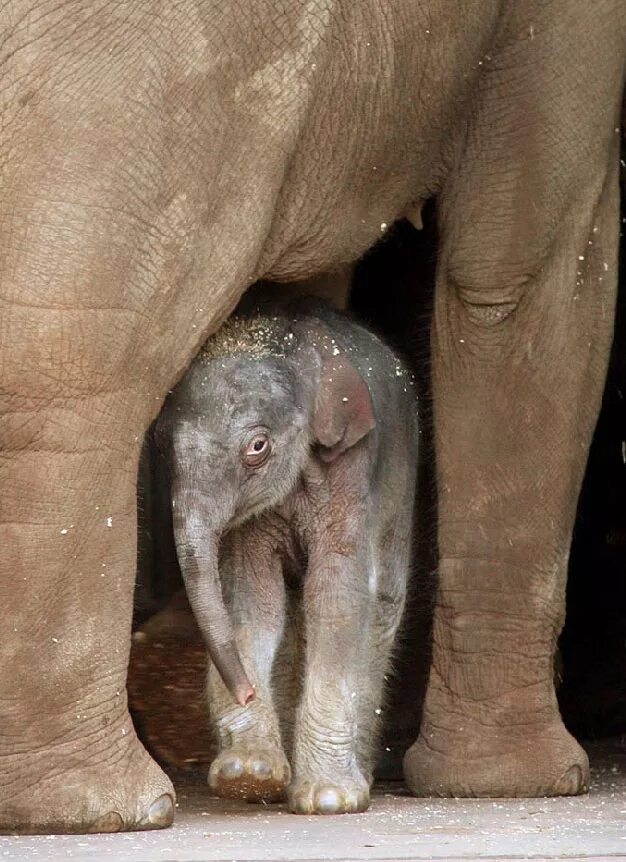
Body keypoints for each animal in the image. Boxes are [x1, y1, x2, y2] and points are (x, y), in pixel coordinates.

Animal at [155, 298, 416, 816]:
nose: (246, 690)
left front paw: (329, 798)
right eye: (163, 447)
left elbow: (334, 596)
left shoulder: (353, 471)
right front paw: (247, 776)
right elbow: (253, 601)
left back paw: (359, 776)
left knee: (381, 610)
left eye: (257, 447)